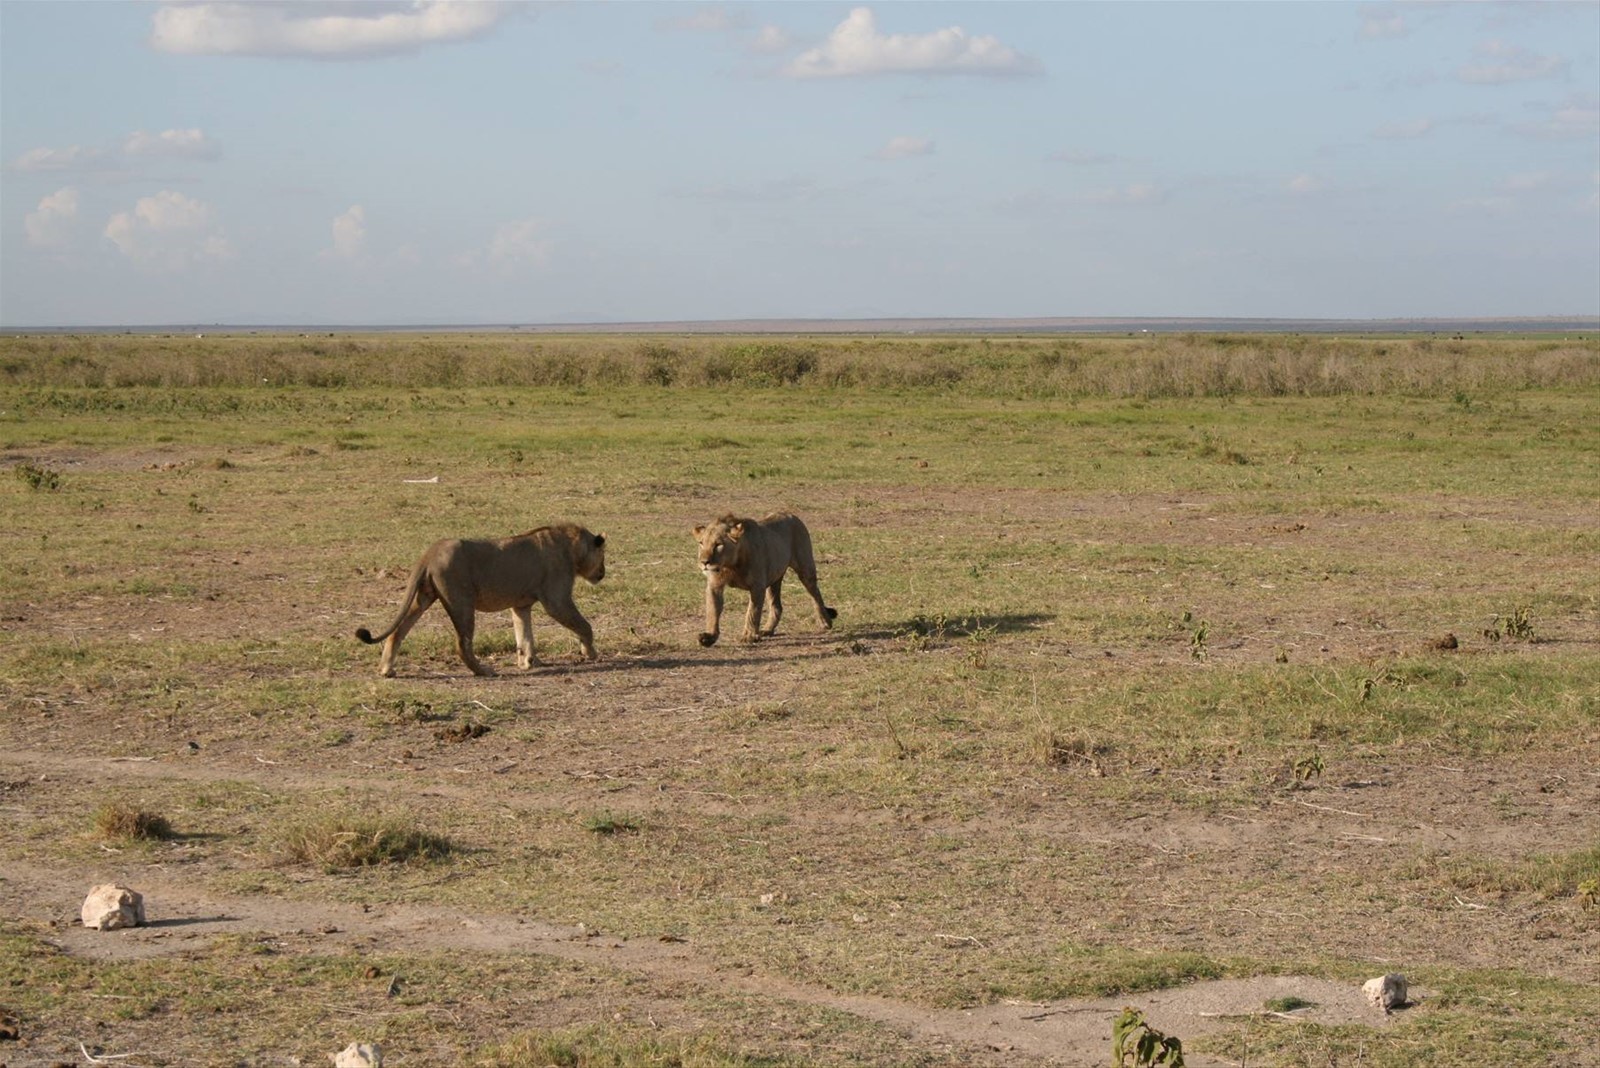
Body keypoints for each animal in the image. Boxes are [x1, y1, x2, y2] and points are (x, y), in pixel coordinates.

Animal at [356, 523, 606, 677]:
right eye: (603, 557)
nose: (603, 573)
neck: (572, 546)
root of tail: (430, 553)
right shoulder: (557, 600)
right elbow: (584, 625)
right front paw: (590, 652)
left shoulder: (520, 605)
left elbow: (524, 635)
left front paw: (527, 661)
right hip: (461, 601)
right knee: (462, 643)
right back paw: (484, 671)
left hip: (423, 598)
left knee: (398, 632)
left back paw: (386, 670)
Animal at [692, 512, 836, 647]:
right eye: (701, 543)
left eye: (718, 545)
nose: (704, 562)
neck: (730, 565)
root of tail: (791, 514)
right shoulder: (714, 585)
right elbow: (712, 611)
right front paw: (709, 637)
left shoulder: (757, 586)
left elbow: (753, 611)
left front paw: (749, 636)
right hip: (773, 580)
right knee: (777, 606)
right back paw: (767, 630)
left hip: (805, 569)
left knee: (816, 595)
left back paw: (825, 622)